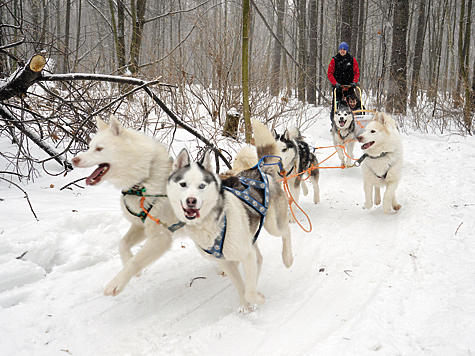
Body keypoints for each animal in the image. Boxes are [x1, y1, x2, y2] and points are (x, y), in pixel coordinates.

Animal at [71, 116, 183, 294]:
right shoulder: (140, 226)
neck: (143, 180)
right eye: (89, 147)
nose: (74, 160)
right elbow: (122, 245)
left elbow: (135, 260)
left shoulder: (160, 237)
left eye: (99, 149)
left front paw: (116, 282)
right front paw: (131, 268)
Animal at [167, 120, 294, 308]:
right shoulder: (226, 262)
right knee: (259, 258)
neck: (212, 225)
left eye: (202, 186)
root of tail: (259, 169)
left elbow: (249, 292)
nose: (191, 201)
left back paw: (287, 258)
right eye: (183, 184)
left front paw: (258, 299)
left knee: (285, 232)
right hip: (249, 237)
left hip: (272, 225)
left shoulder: (245, 255)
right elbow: (241, 287)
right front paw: (246, 307)